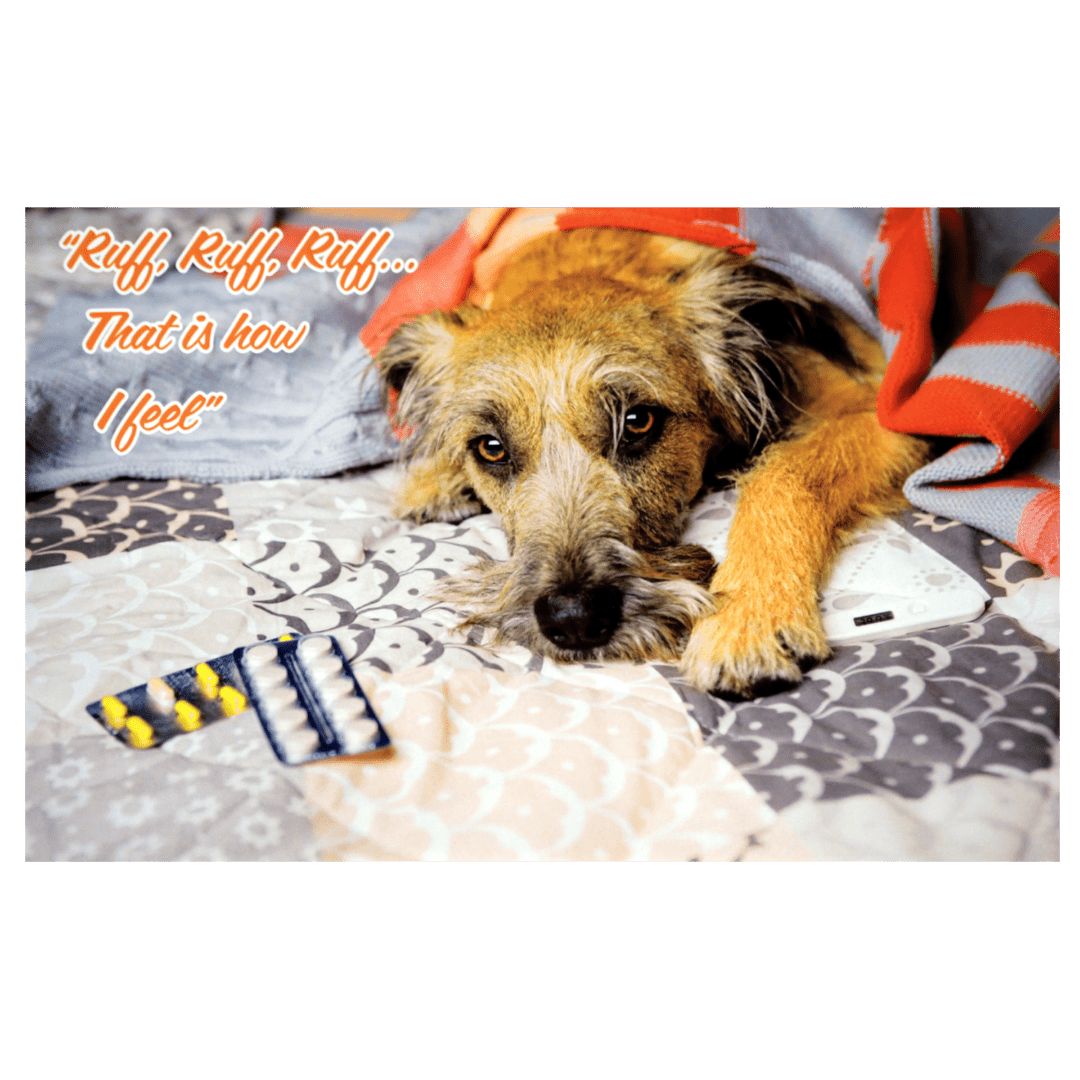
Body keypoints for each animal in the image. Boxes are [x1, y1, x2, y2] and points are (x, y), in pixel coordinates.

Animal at [375, 230, 933, 699]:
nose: (573, 619)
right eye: (490, 447)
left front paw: (747, 617)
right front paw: (433, 479)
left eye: (638, 421)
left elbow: (784, 474)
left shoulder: (879, 411)